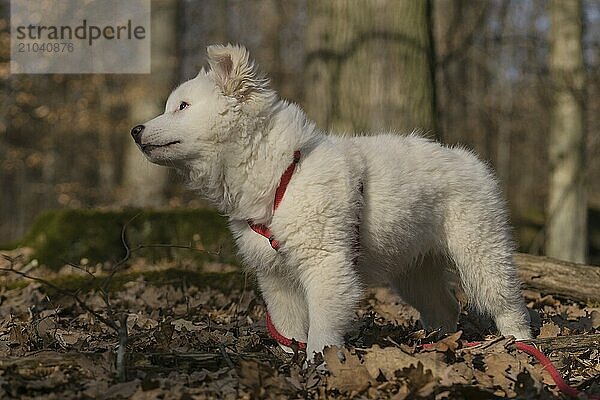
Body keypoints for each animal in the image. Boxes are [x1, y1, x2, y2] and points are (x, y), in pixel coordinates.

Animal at [131, 44, 528, 360]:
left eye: (182, 106)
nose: (135, 130)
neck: (280, 173)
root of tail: (472, 161)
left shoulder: (325, 263)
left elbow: (321, 327)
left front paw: (318, 362)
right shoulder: (276, 277)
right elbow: (289, 329)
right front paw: (292, 362)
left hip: (480, 252)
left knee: (508, 303)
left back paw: (519, 344)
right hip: (416, 267)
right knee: (445, 307)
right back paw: (439, 343)